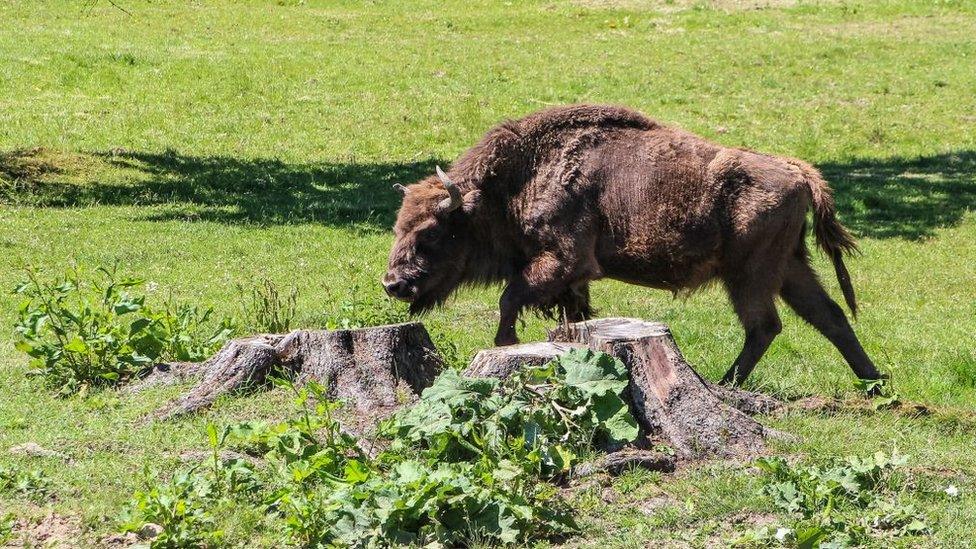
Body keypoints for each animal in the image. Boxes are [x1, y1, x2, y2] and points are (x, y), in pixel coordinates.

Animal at [384, 105, 884, 384]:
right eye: (398, 226)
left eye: (430, 231)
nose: (393, 284)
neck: (511, 184)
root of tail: (799, 171)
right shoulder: (572, 280)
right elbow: (572, 316)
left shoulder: (561, 261)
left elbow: (510, 300)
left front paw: (505, 345)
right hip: (791, 268)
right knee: (828, 316)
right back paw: (874, 383)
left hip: (750, 275)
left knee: (765, 325)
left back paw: (728, 384)